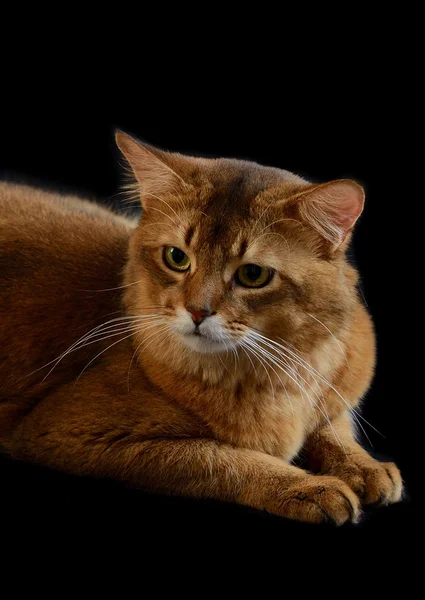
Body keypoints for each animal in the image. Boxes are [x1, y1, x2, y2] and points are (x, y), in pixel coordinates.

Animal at [0, 132, 402, 524]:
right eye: (176, 257)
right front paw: (306, 487)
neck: (280, 372)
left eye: (253, 274)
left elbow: (332, 424)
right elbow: (216, 457)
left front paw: (364, 465)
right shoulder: (67, 430)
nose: (197, 312)